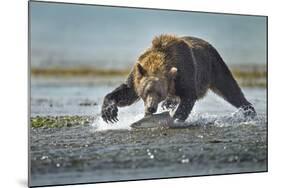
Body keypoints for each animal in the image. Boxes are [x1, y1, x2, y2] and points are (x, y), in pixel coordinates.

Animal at [100, 34, 254, 123]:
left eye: (159, 93)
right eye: (146, 91)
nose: (151, 108)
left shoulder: (185, 72)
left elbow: (188, 96)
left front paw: (175, 119)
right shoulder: (137, 74)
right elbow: (127, 92)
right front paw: (109, 112)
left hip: (214, 66)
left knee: (230, 90)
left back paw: (249, 111)